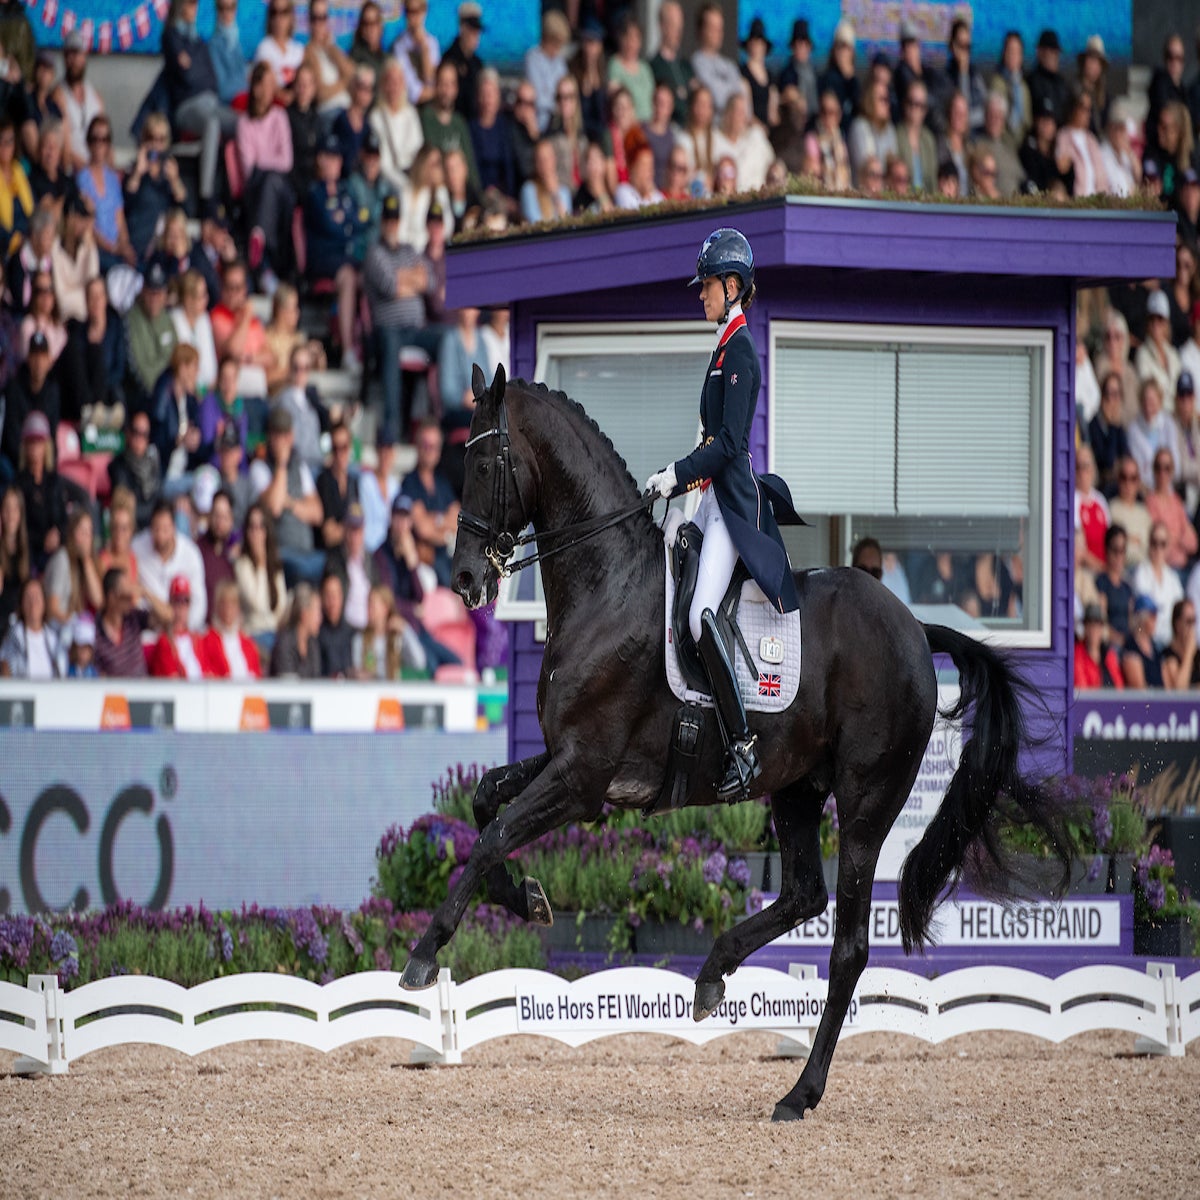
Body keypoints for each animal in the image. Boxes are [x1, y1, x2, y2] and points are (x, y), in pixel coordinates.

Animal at [403, 367, 1070, 1123]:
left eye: (487, 463)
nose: (465, 580)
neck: (609, 588)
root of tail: (914, 627)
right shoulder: (570, 762)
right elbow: (486, 803)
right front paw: (530, 900)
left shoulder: (582, 779)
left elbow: (494, 834)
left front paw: (424, 953)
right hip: (798, 789)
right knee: (804, 894)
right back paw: (713, 975)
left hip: (866, 802)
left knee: (847, 946)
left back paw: (798, 1092)